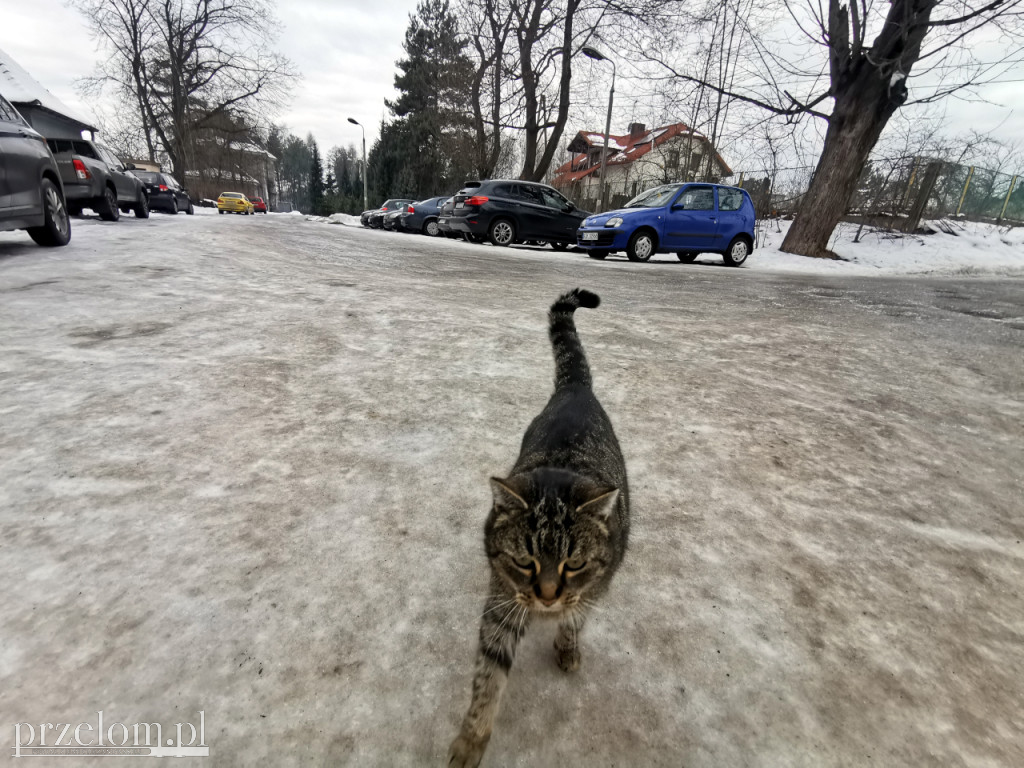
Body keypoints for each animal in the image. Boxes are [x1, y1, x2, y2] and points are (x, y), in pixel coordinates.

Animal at [446, 288, 626, 768]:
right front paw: (471, 739)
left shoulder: (595, 586)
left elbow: (576, 618)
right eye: (525, 562)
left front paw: (567, 646)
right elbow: (487, 676)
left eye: (574, 564)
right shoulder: (502, 600)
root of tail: (575, 387)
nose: (546, 597)